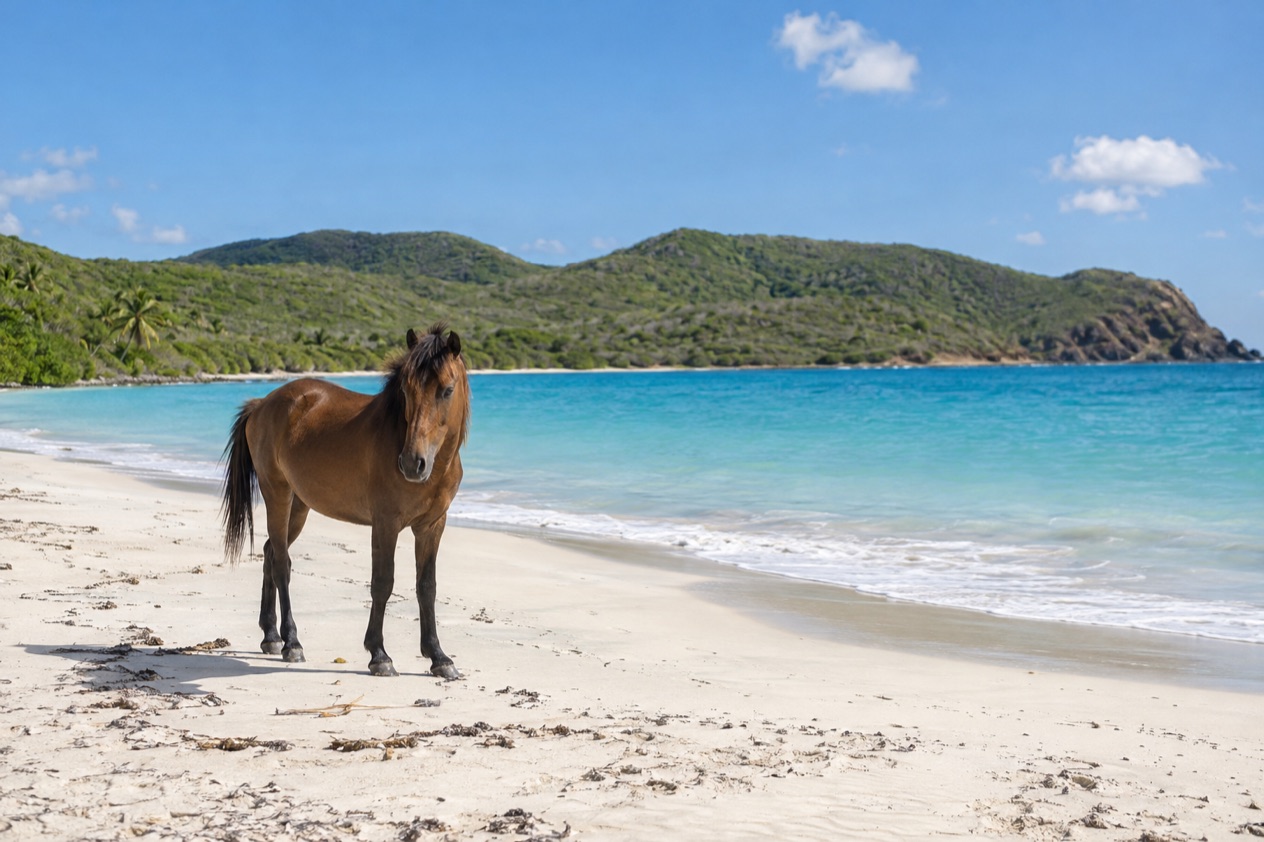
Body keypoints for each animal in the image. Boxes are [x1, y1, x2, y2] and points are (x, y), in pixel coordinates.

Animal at [220, 322, 469, 679]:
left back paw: (271, 637)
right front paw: (379, 655)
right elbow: (382, 582)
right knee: (281, 563)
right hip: (277, 494)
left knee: (270, 553)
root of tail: (263, 403)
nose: (412, 463)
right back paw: (291, 643)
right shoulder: (385, 523)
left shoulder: (433, 526)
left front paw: (439, 657)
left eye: (447, 390)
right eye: (406, 391)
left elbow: (427, 587)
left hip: (300, 505)